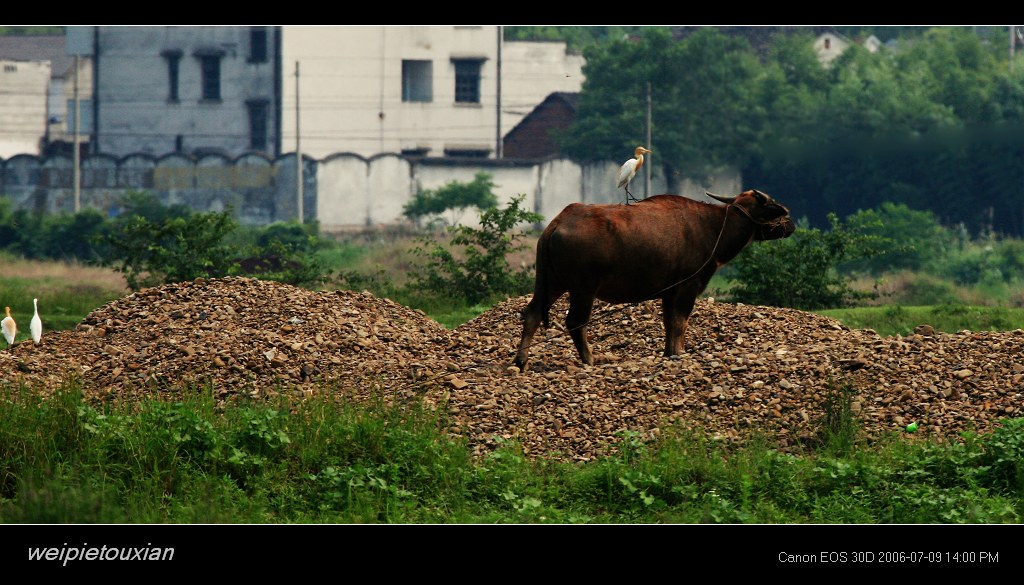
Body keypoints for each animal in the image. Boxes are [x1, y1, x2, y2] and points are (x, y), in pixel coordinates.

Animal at [516, 189, 794, 372]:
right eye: (771, 204)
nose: (790, 223)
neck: (715, 227)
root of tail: (557, 223)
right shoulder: (687, 287)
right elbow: (681, 322)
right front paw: (679, 353)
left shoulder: (669, 293)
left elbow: (669, 323)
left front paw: (669, 352)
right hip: (583, 288)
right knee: (575, 321)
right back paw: (589, 359)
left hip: (552, 282)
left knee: (532, 313)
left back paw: (521, 360)